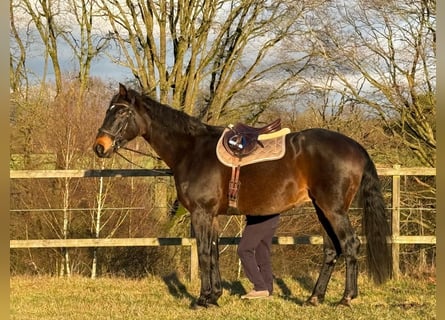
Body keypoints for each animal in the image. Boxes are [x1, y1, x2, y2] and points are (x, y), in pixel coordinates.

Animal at [93, 82, 388, 308]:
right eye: (107, 110)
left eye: (121, 112)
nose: (99, 147)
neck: (191, 150)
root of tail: (355, 147)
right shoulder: (211, 215)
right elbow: (213, 251)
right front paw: (214, 296)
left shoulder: (201, 213)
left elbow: (204, 252)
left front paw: (202, 299)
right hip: (322, 209)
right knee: (331, 249)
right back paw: (314, 298)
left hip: (334, 210)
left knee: (350, 245)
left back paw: (346, 298)